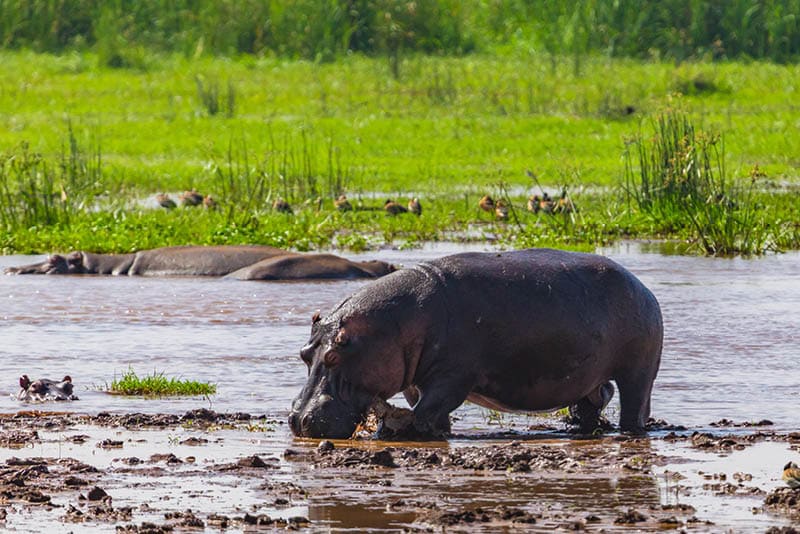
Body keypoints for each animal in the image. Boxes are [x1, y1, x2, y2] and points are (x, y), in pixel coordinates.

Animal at [289, 248, 663, 439]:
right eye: (305, 354)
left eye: (335, 356)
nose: (297, 419)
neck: (394, 326)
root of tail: (641, 286)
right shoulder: (414, 379)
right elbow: (427, 406)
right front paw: (436, 431)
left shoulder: (453, 375)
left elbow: (429, 407)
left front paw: (402, 432)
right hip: (586, 377)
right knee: (595, 399)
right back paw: (577, 427)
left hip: (639, 370)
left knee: (635, 404)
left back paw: (629, 431)